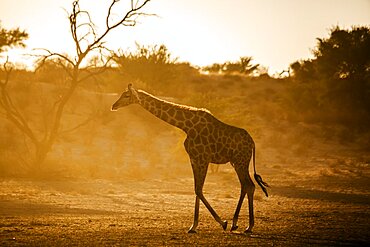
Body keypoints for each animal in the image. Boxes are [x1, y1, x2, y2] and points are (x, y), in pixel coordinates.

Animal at [110, 84, 268, 233]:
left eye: (126, 95)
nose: (113, 106)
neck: (186, 125)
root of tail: (252, 143)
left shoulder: (203, 158)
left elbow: (199, 189)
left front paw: (222, 223)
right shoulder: (194, 158)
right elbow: (196, 189)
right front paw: (193, 226)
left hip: (241, 161)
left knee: (248, 185)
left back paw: (247, 226)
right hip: (237, 162)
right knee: (246, 185)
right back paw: (238, 224)